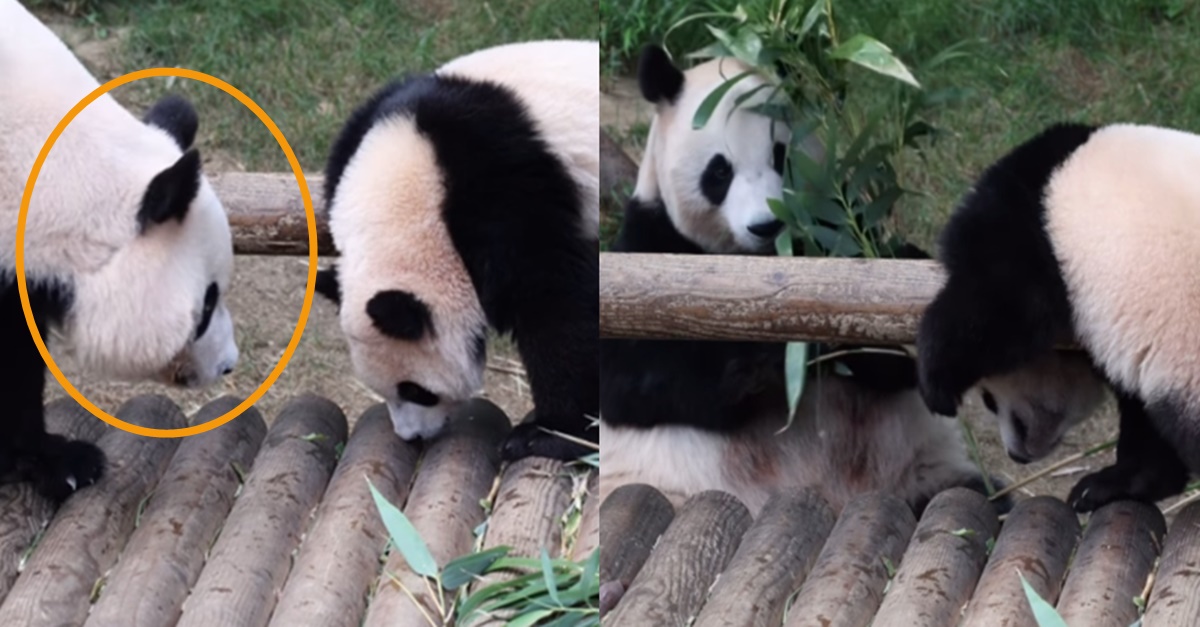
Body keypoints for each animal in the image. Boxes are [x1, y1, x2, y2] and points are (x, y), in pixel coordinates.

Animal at [912, 123, 1200, 511]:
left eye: (989, 400)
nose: (1016, 456)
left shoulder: (1034, 232)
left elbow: (997, 308)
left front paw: (936, 383)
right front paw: (1116, 484)